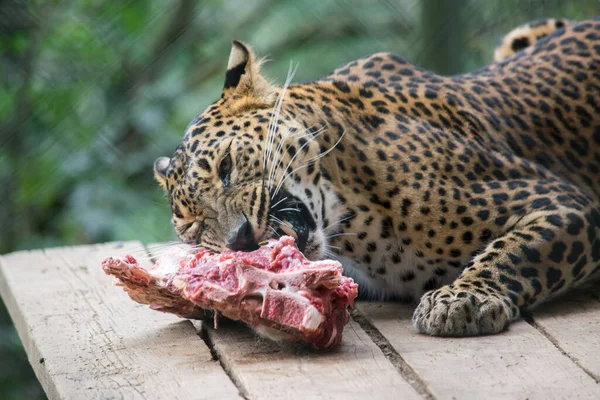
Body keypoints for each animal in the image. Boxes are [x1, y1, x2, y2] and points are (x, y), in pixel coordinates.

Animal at [152, 18, 600, 338]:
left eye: (225, 167)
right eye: (194, 226)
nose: (240, 239)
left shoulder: (564, 201)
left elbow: (515, 250)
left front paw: (462, 299)